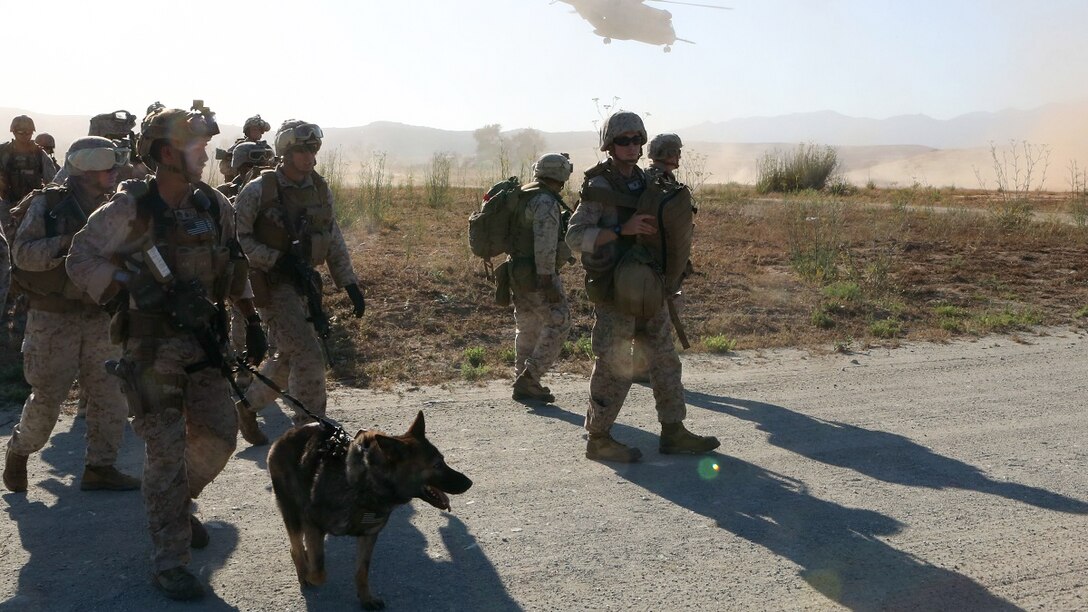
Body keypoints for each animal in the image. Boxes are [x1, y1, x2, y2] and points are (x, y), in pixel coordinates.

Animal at [267, 407, 472, 605]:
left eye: (443, 460)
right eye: (437, 465)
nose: (469, 483)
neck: (367, 485)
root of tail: (285, 436)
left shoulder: (368, 536)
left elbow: (362, 572)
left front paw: (366, 598)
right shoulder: (313, 524)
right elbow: (319, 573)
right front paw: (309, 572)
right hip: (292, 513)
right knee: (295, 547)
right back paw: (303, 570)